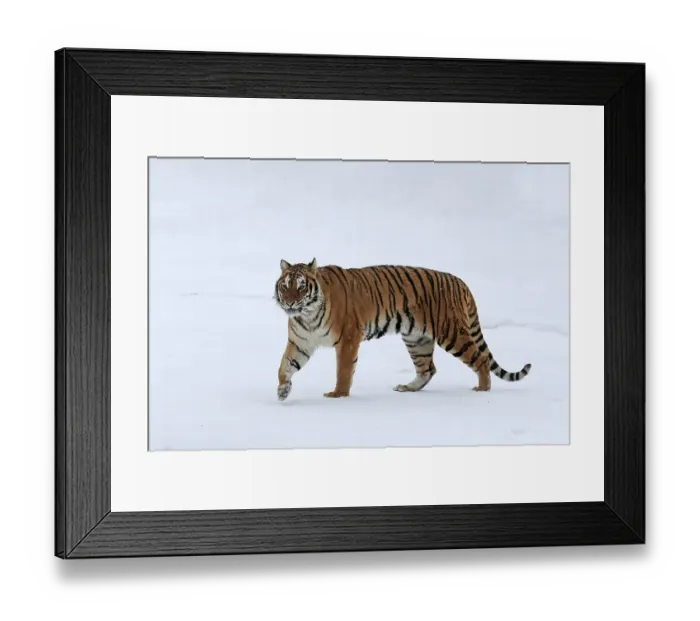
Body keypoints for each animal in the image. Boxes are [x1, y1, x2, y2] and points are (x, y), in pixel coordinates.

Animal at [275, 259, 531, 401]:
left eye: (301, 287)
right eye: (285, 286)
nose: (289, 303)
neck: (306, 315)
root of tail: (461, 282)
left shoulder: (348, 338)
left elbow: (344, 371)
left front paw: (338, 395)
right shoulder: (300, 342)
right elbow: (285, 365)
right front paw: (283, 390)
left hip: (452, 333)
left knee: (481, 359)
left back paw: (481, 390)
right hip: (417, 339)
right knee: (428, 368)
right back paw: (407, 388)